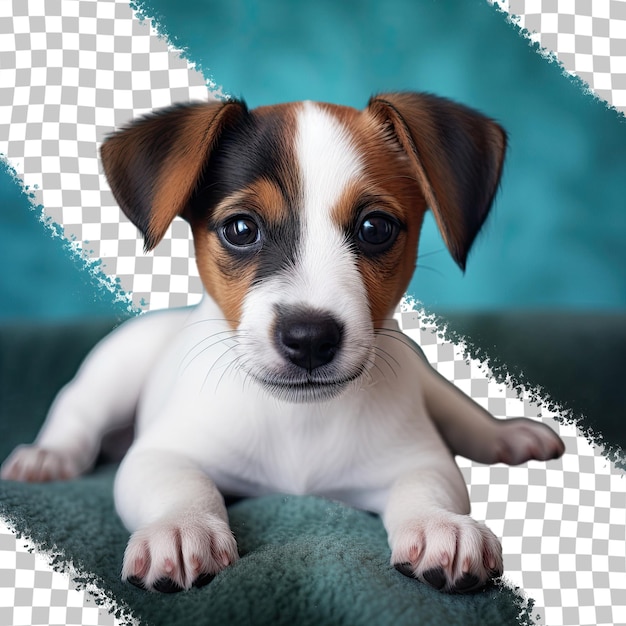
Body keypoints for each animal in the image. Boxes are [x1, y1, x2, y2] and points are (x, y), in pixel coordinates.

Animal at [1, 94, 564, 596]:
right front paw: (183, 528)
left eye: (375, 228)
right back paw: (47, 457)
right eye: (240, 228)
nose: (309, 338)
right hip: (112, 374)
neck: (299, 419)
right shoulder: (160, 453)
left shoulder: (417, 459)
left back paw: (507, 435)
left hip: (427, 381)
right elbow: (181, 484)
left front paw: (438, 525)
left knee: (459, 409)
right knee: (76, 412)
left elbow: (426, 487)